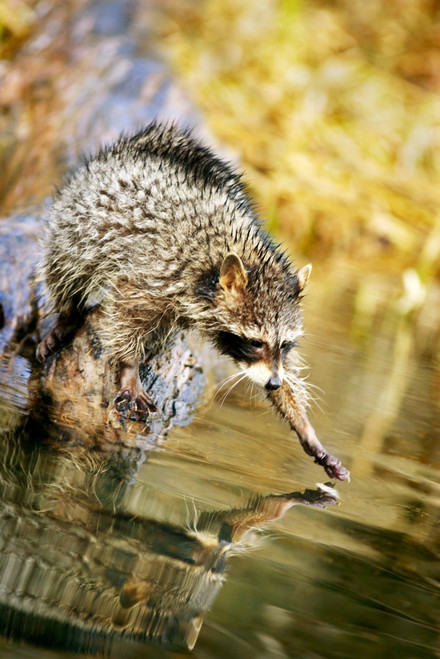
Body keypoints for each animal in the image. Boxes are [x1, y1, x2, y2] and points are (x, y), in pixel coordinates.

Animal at [37, 122, 349, 481]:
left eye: (284, 345)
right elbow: (125, 312)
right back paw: (67, 313)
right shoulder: (154, 271)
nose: (272, 383)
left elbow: (291, 375)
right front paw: (129, 366)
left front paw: (302, 424)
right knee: (65, 266)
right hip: (77, 221)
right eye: (254, 342)